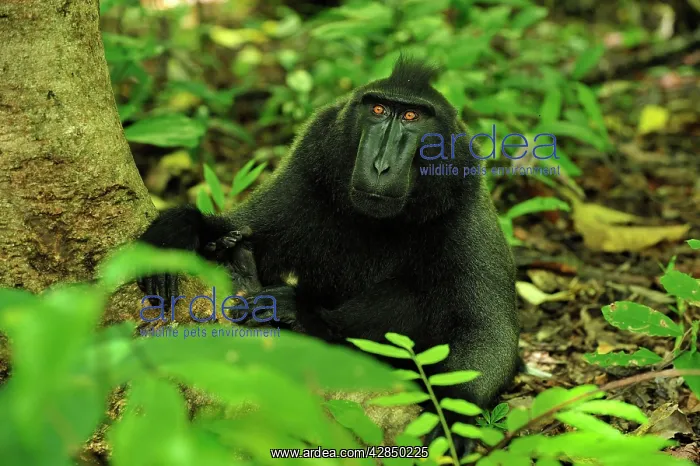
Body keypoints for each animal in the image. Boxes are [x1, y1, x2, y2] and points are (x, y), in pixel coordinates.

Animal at [136, 56, 520, 457]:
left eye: (412, 116)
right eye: (378, 110)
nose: (380, 166)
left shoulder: (464, 211)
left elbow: (488, 333)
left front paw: (452, 418)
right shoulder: (307, 169)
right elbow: (243, 223)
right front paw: (179, 229)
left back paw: (304, 319)